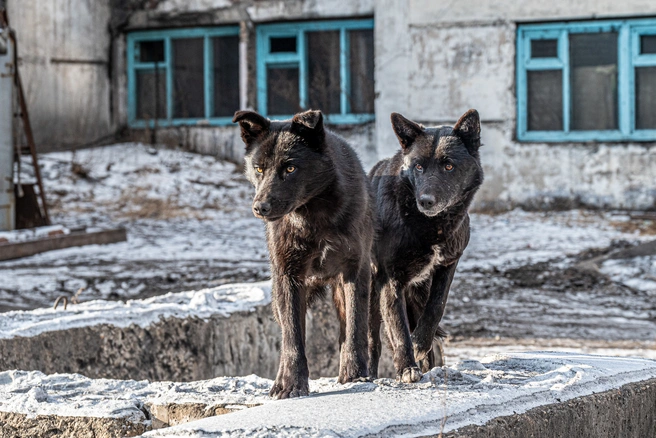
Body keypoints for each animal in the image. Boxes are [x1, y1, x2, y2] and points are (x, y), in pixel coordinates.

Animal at [233, 108, 372, 396]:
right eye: (259, 168)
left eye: (290, 168)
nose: (260, 207)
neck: (312, 216)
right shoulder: (289, 277)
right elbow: (293, 337)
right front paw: (291, 384)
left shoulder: (355, 270)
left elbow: (355, 326)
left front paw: (355, 374)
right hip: (280, 293)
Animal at [368, 110, 482, 384]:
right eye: (418, 166)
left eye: (448, 166)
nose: (425, 201)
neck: (429, 226)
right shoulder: (390, 278)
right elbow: (398, 327)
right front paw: (407, 368)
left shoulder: (448, 264)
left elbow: (436, 307)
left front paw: (420, 343)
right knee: (370, 341)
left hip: (418, 292)